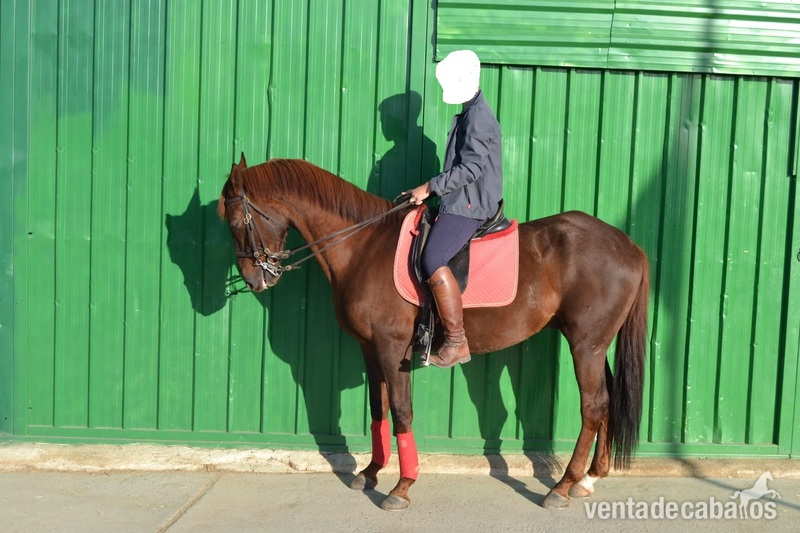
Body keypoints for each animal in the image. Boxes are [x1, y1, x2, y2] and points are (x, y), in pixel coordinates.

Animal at [218, 154, 650, 511]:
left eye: (237, 221)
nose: (254, 279)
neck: (362, 247)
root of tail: (628, 245)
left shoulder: (393, 349)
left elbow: (402, 411)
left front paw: (402, 486)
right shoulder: (370, 349)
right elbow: (378, 409)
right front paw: (371, 472)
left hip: (585, 345)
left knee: (592, 406)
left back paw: (562, 486)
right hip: (595, 345)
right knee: (606, 401)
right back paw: (589, 479)